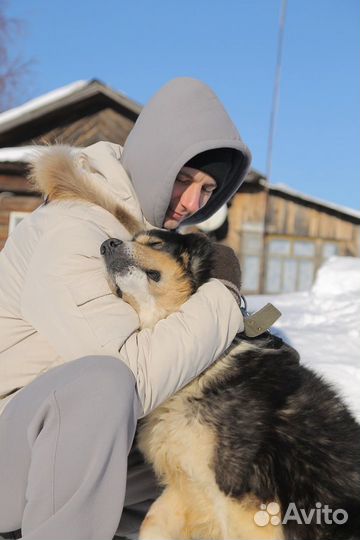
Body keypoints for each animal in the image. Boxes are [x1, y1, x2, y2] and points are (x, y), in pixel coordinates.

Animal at [100, 230, 360, 536]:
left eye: (155, 243)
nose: (106, 244)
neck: (203, 368)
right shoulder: (185, 486)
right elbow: (152, 522)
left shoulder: (238, 500)